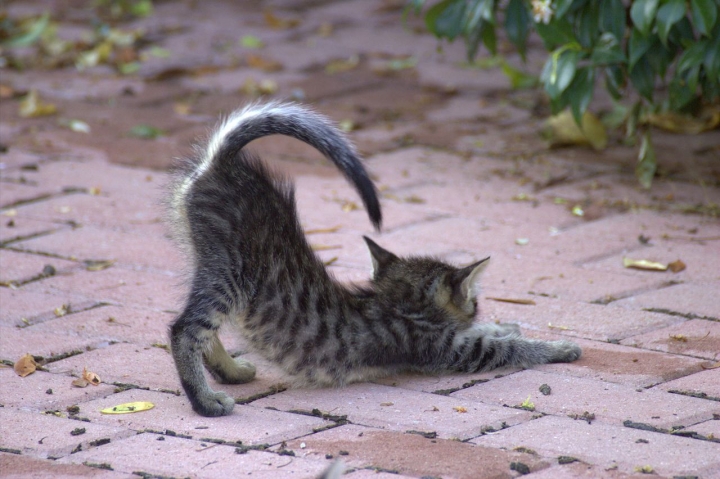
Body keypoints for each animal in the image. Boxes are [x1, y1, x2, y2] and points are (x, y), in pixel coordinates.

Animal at [167, 103, 580, 418]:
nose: (477, 306)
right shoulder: (446, 350)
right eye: (474, 299)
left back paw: (231, 371)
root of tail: (221, 163)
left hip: (206, 257)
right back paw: (206, 401)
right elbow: (504, 347)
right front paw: (557, 348)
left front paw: (506, 325)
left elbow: (489, 332)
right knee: (184, 327)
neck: (400, 304)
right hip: (234, 270)